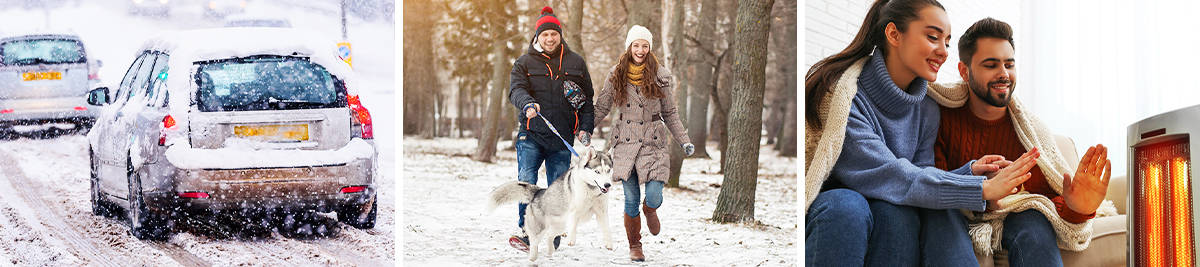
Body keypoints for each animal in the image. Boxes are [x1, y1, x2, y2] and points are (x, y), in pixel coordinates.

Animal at [489, 146, 619, 260]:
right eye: (597, 171)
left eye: (608, 170)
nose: (607, 185)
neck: (591, 190)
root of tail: (538, 192)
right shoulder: (574, 211)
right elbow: (573, 226)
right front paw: (571, 240)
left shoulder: (602, 212)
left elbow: (607, 228)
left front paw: (609, 244)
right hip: (540, 228)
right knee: (534, 241)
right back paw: (532, 258)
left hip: (559, 226)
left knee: (550, 236)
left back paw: (550, 250)